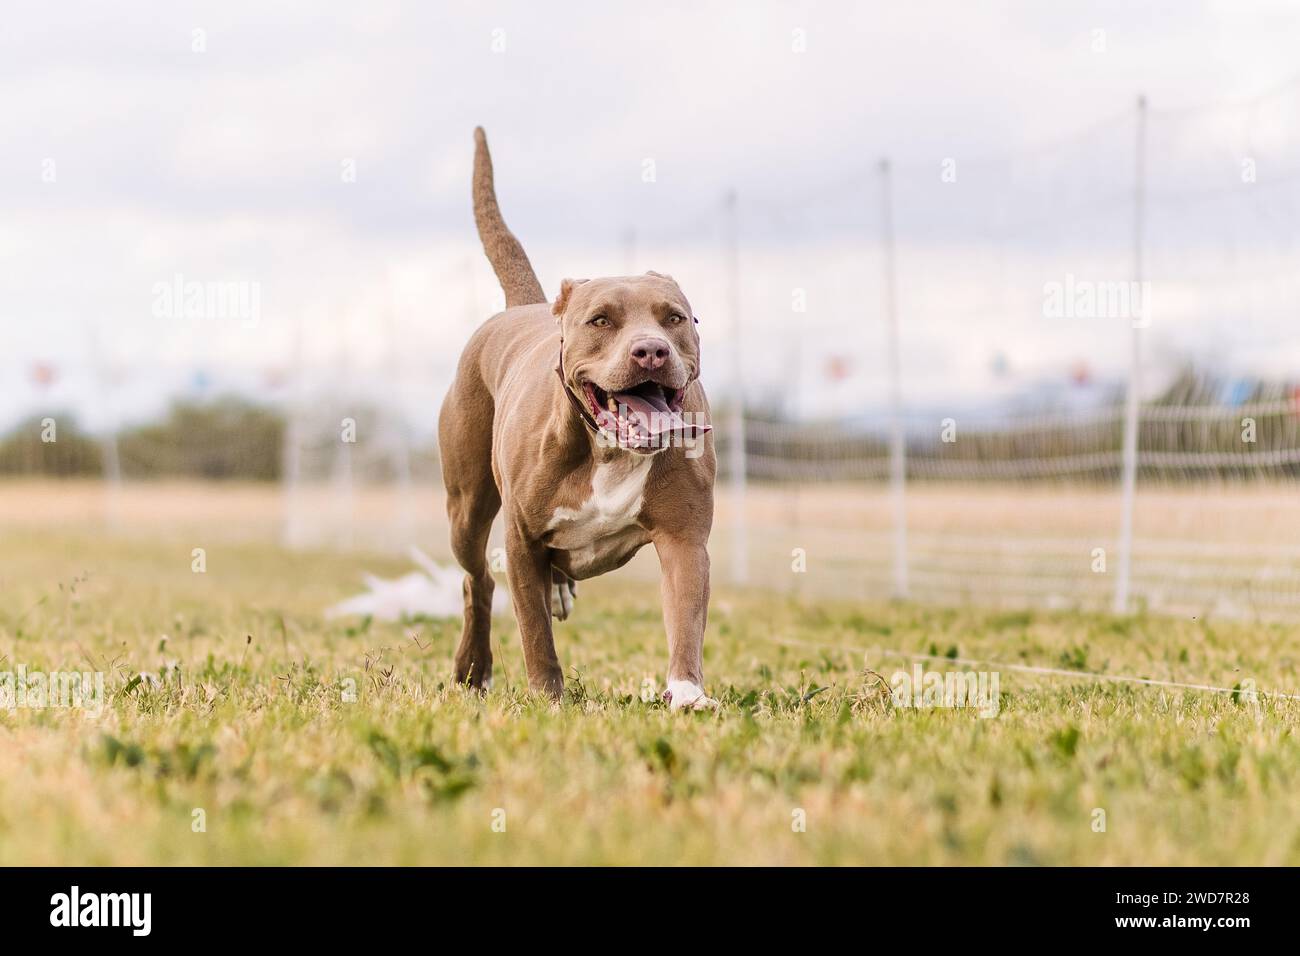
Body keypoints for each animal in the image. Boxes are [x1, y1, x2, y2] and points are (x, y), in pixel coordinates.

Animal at [436, 128, 722, 712]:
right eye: (601, 321)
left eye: (675, 318)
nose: (651, 351)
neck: (608, 449)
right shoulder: (521, 541)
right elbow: (534, 633)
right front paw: (548, 697)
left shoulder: (684, 538)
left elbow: (685, 616)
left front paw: (687, 693)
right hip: (467, 508)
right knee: (478, 581)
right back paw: (472, 669)